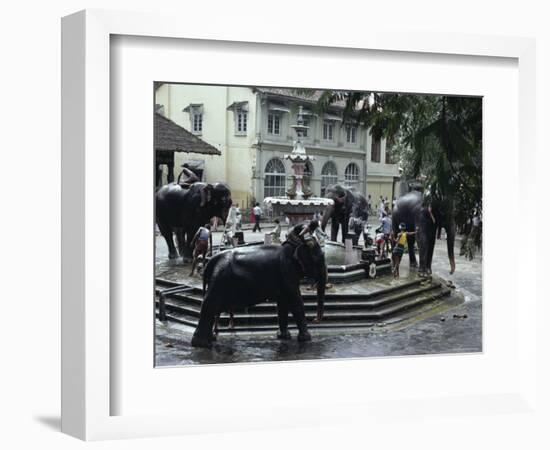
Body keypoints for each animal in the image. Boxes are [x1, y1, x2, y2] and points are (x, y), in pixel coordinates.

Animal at [193, 221, 328, 348]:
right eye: (320, 258)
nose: (315, 320)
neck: (292, 247)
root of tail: (211, 261)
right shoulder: (287, 271)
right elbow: (295, 300)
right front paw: (306, 339)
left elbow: (283, 302)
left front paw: (283, 337)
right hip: (220, 278)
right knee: (210, 304)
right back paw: (203, 344)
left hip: (218, 278)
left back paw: (210, 340)